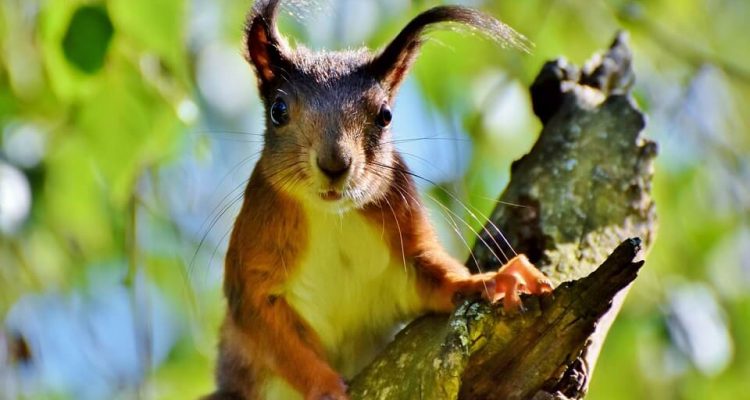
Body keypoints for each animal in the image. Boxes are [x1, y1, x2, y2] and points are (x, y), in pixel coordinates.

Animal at [204, 1, 552, 399]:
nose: (335, 164)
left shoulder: (406, 243)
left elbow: (437, 279)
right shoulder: (255, 269)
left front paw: (495, 279)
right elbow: (277, 339)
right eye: (278, 111)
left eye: (385, 115)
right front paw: (325, 387)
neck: (333, 215)